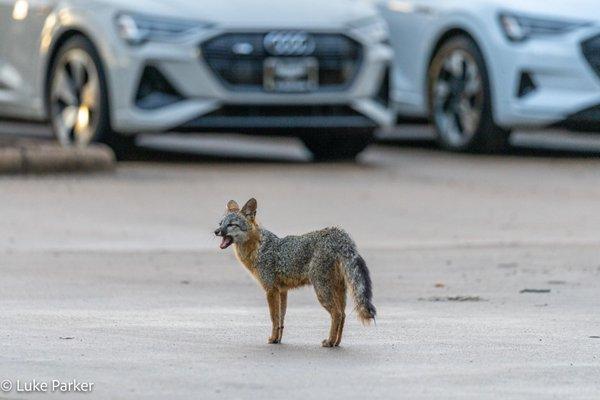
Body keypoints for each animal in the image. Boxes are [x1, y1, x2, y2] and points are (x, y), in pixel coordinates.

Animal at [214, 199, 376, 346]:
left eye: (232, 224)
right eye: (221, 223)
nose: (216, 231)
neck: (257, 248)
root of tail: (337, 232)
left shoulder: (270, 290)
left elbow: (274, 317)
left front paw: (272, 339)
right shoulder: (282, 291)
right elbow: (281, 319)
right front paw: (278, 339)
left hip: (322, 291)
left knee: (336, 314)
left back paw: (329, 341)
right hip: (338, 290)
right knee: (342, 315)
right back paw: (336, 342)